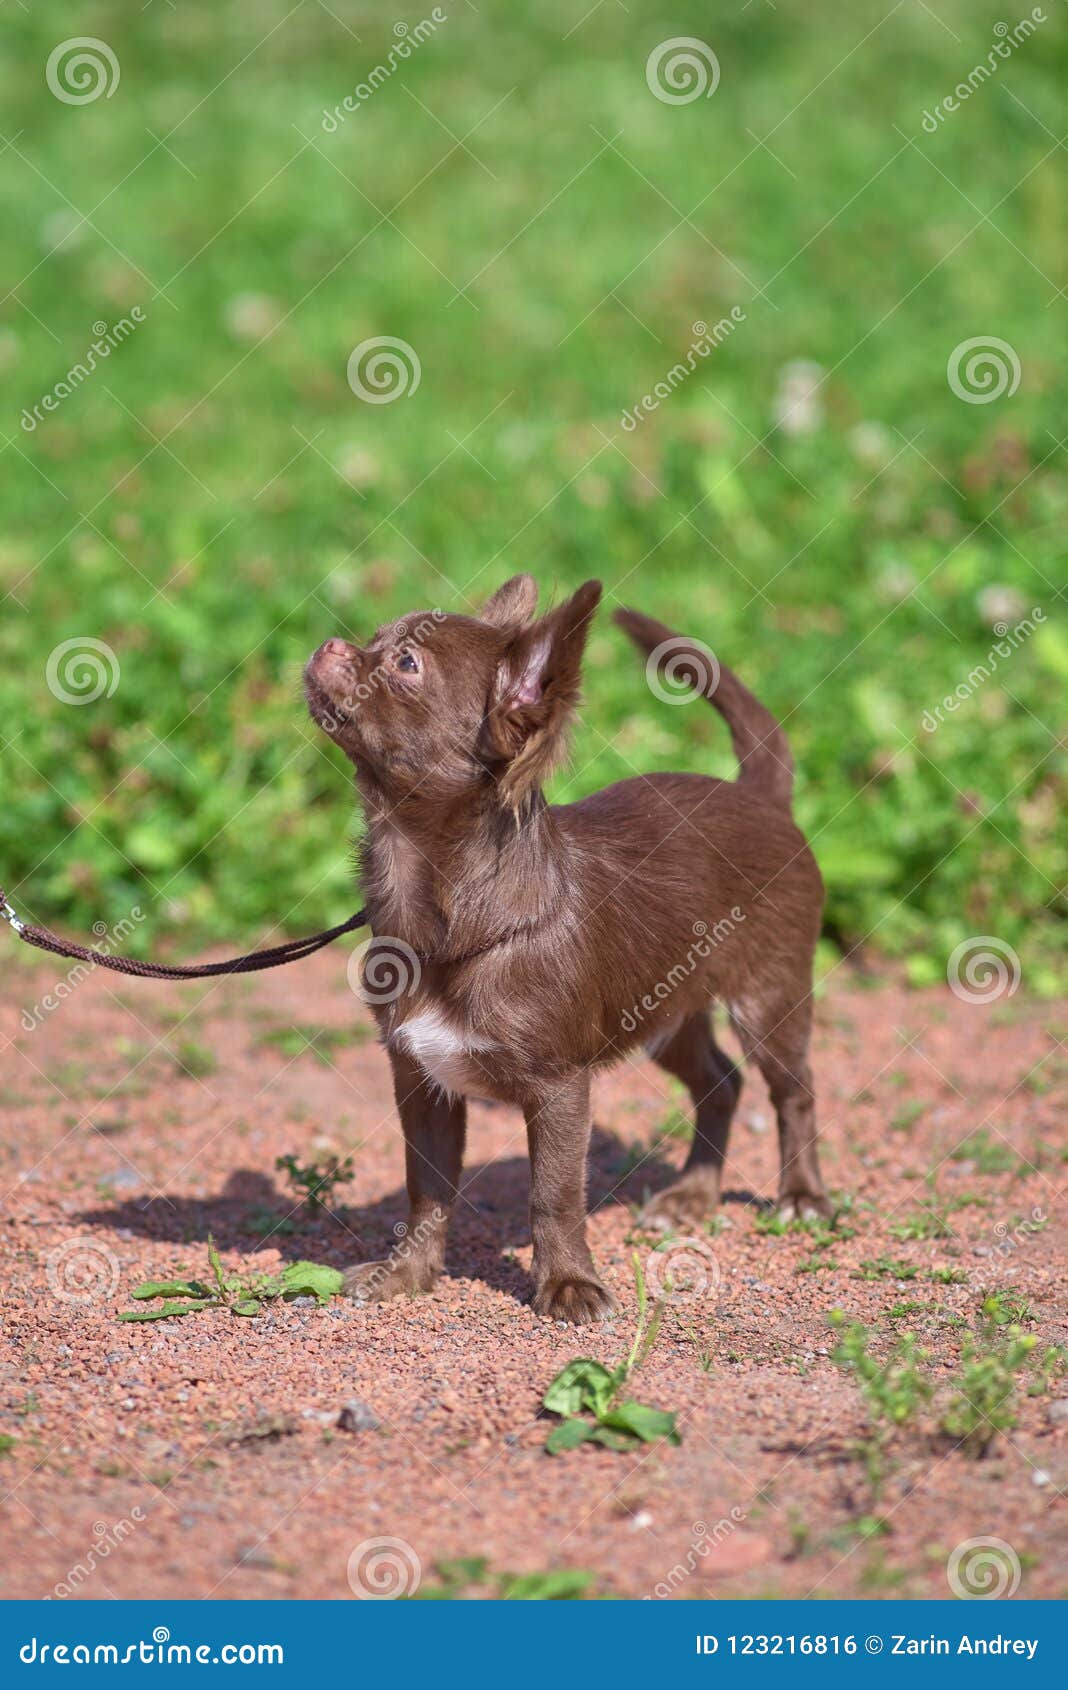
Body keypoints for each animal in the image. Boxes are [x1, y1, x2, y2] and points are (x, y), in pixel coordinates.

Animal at [304, 577, 831, 1318]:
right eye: (374, 639)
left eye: (406, 663)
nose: (328, 644)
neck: (435, 900)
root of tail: (760, 796)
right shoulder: (421, 1080)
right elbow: (426, 1192)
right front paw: (406, 1275)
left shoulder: (559, 1088)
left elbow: (553, 1195)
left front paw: (568, 1283)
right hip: (663, 1013)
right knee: (720, 1083)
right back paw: (693, 1196)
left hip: (768, 1001)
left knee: (793, 1091)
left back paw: (802, 1197)